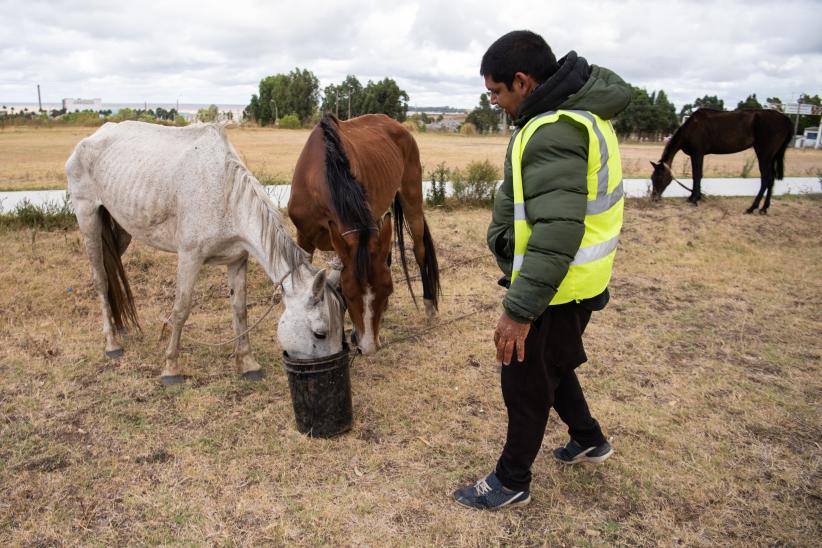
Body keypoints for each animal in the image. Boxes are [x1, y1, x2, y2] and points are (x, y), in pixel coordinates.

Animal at [65, 120, 344, 386]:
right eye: (320, 333)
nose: (330, 373)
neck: (225, 195)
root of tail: (92, 137)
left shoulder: (237, 259)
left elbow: (239, 309)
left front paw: (248, 364)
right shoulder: (190, 257)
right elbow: (181, 309)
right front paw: (171, 368)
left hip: (121, 229)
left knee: (112, 270)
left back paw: (120, 327)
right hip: (87, 217)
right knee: (101, 279)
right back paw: (112, 343)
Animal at [292, 114, 444, 356]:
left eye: (388, 290)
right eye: (347, 294)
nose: (369, 346)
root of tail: (397, 125)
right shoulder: (305, 238)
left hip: (412, 195)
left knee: (419, 249)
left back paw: (429, 303)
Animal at [652, 109, 796, 214]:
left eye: (659, 177)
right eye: (652, 178)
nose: (654, 198)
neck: (692, 127)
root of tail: (786, 120)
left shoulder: (697, 153)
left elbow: (697, 175)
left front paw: (694, 199)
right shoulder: (696, 155)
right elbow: (696, 175)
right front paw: (694, 197)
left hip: (764, 154)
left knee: (766, 178)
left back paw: (752, 208)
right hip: (771, 156)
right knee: (771, 179)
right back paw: (764, 208)